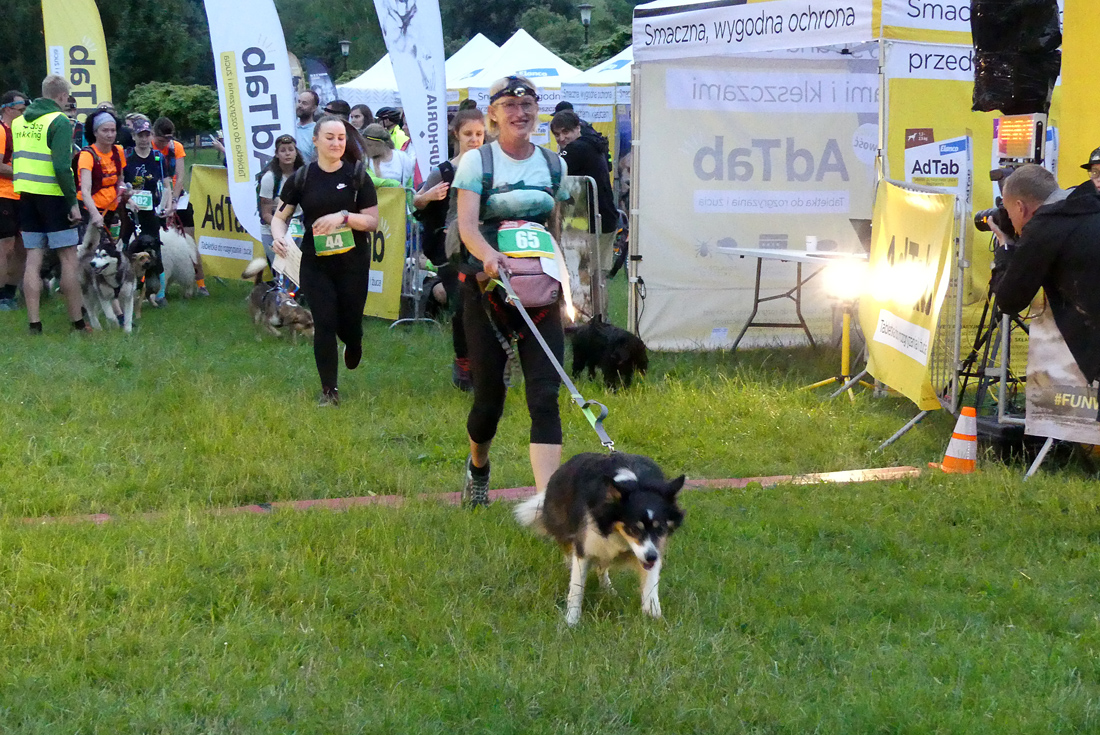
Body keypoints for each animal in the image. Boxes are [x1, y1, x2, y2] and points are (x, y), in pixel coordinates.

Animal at [515, 452, 685, 626]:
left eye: (661, 528)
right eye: (634, 529)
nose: (651, 557)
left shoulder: (653, 549)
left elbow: (651, 585)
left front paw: (654, 616)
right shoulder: (585, 544)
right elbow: (576, 588)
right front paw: (571, 621)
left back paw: (607, 588)